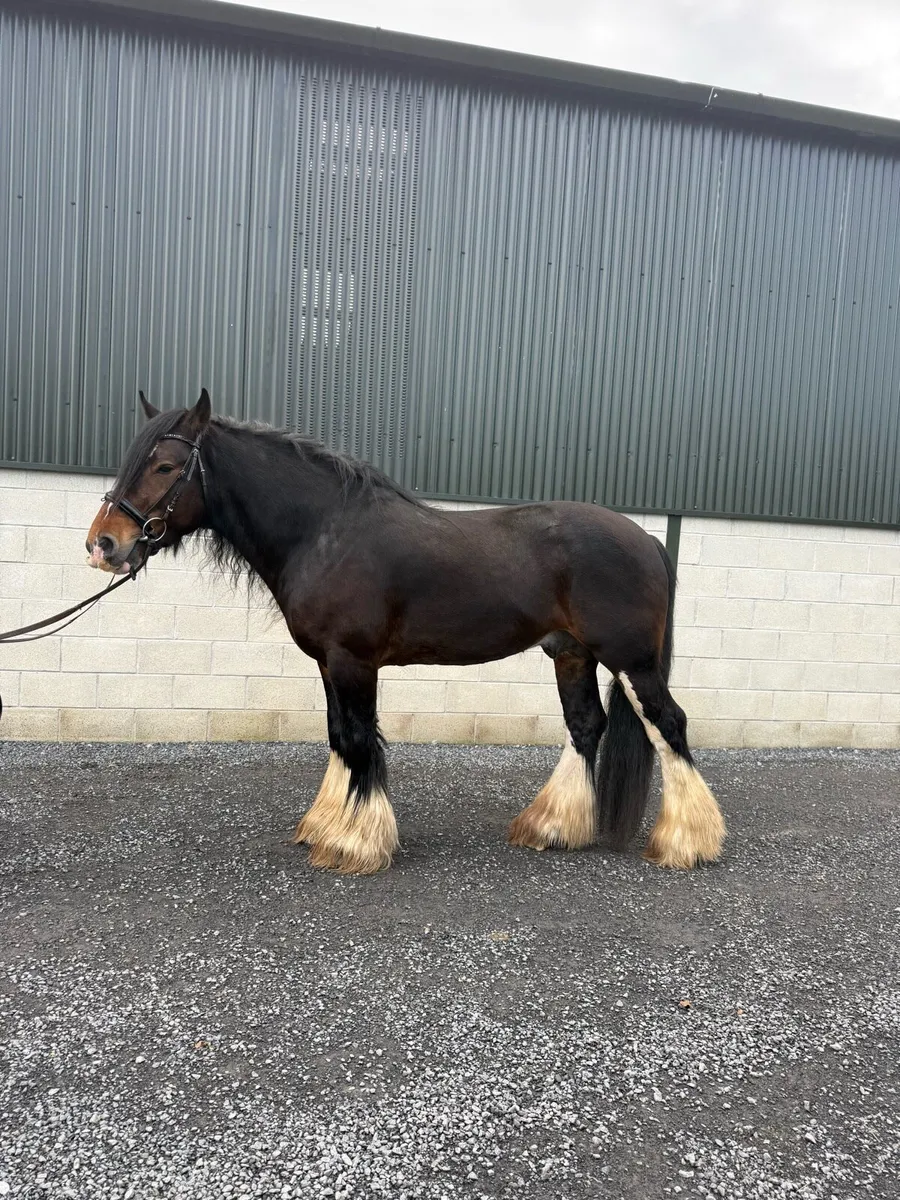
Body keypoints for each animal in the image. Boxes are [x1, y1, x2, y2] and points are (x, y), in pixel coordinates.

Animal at [86, 390, 725, 875]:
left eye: (166, 466)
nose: (104, 544)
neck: (324, 532)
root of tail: (646, 538)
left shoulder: (353, 660)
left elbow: (359, 738)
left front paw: (354, 843)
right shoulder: (329, 663)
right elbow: (340, 737)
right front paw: (326, 826)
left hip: (630, 659)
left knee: (669, 725)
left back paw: (687, 842)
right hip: (571, 654)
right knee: (586, 725)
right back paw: (551, 826)